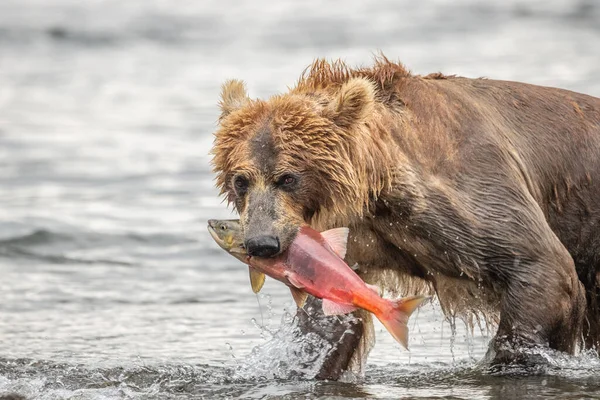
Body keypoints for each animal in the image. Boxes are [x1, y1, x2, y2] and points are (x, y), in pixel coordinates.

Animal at [211, 55, 600, 376]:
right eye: (241, 180)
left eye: (288, 177)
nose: (262, 243)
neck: (377, 184)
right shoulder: (353, 240)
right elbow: (329, 322)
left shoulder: (469, 189)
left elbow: (541, 266)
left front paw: (510, 358)